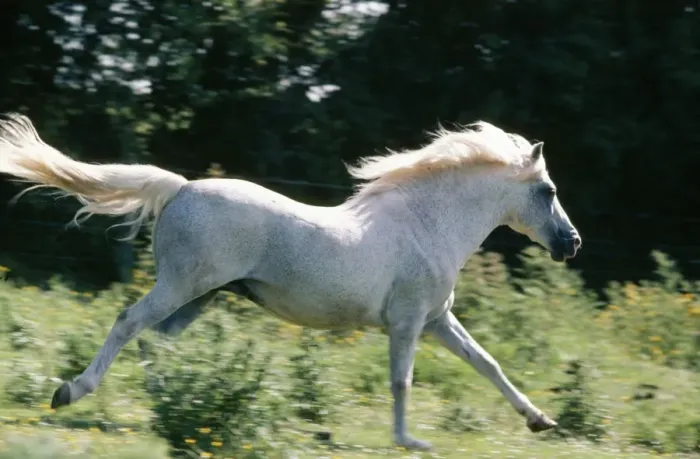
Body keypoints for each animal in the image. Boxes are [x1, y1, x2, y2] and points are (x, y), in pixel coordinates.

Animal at [0, 112, 581, 450]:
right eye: (549, 191)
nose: (571, 243)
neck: (428, 223)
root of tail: (181, 187)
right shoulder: (409, 321)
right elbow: (402, 381)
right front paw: (409, 441)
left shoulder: (436, 319)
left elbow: (488, 363)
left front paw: (540, 420)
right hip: (183, 287)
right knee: (128, 324)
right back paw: (71, 392)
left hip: (199, 297)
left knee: (152, 341)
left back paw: (167, 406)